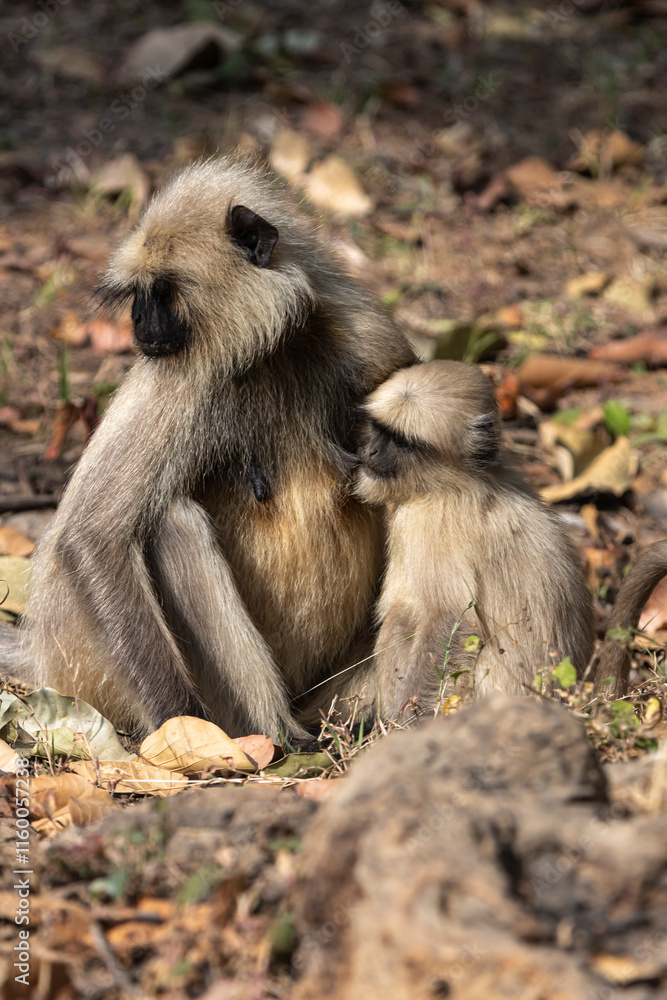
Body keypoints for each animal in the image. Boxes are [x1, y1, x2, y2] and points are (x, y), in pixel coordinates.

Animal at [0, 156, 415, 739]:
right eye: (139, 295)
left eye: (162, 292)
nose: (139, 322)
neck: (272, 349)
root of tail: (43, 652)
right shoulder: (183, 368)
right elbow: (92, 538)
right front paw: (179, 737)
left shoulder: (373, 341)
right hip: (90, 666)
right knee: (171, 522)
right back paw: (271, 740)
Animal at [347, 359, 667, 719]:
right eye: (377, 429)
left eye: (400, 441)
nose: (371, 450)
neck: (459, 483)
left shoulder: (432, 523)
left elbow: (453, 622)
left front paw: (400, 725)